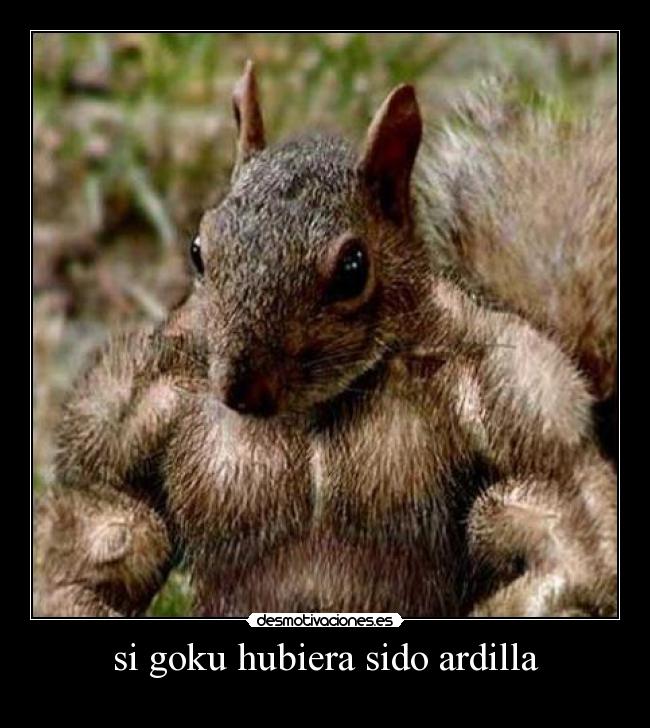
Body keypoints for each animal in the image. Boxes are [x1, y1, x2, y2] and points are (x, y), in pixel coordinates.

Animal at [35, 61, 617, 618]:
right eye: (198, 250)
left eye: (353, 270)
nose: (241, 391)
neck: (314, 411)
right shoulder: (131, 408)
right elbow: (110, 523)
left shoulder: (522, 400)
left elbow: (572, 533)